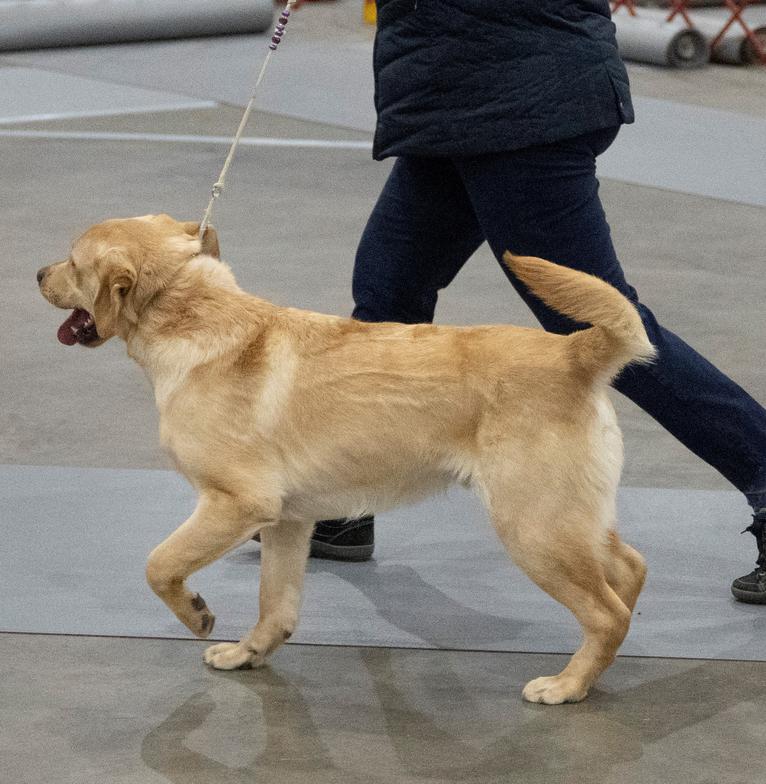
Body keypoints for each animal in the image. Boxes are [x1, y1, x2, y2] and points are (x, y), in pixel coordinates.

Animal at [37, 214, 656, 704]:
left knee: (607, 614)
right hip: (568, 519)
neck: (196, 315)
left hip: (533, 528)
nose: (38, 274)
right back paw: (598, 668)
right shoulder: (287, 521)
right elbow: (275, 606)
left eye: (73, 261)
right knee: (628, 573)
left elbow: (160, 564)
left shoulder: (234, 503)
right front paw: (247, 654)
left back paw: (567, 686)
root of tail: (575, 353)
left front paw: (197, 614)